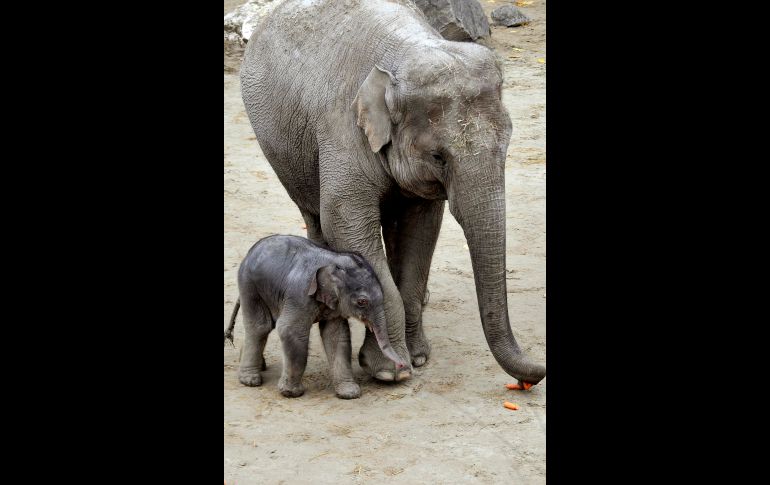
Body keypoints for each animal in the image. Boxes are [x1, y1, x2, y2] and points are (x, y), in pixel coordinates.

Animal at [225, 235, 407, 399]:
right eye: (362, 302)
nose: (403, 365)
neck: (333, 259)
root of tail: (251, 250)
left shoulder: (334, 305)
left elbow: (336, 335)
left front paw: (349, 393)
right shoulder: (299, 294)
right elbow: (290, 331)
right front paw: (291, 393)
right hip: (249, 285)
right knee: (260, 326)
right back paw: (250, 380)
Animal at [239, 0, 546, 385]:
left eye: (506, 147)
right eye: (438, 157)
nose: (532, 376)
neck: (408, 53)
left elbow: (421, 230)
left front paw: (418, 358)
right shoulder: (343, 128)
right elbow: (346, 221)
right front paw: (389, 372)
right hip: (283, 152)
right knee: (315, 215)